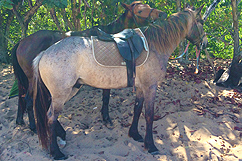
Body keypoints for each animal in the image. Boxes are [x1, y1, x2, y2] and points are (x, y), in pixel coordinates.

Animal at [11, 0, 166, 132]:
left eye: (147, 6)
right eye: (139, 11)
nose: (161, 14)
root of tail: (22, 42)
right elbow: (106, 97)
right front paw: (106, 118)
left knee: (23, 98)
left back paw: (21, 121)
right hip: (33, 80)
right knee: (29, 100)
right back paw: (33, 126)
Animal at [32, 5, 208, 160]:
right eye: (201, 22)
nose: (205, 43)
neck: (155, 45)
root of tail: (44, 53)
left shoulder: (140, 88)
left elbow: (137, 109)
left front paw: (135, 134)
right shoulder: (151, 87)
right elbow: (149, 115)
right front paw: (151, 146)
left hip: (69, 90)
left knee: (50, 115)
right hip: (61, 94)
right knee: (51, 117)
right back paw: (56, 153)